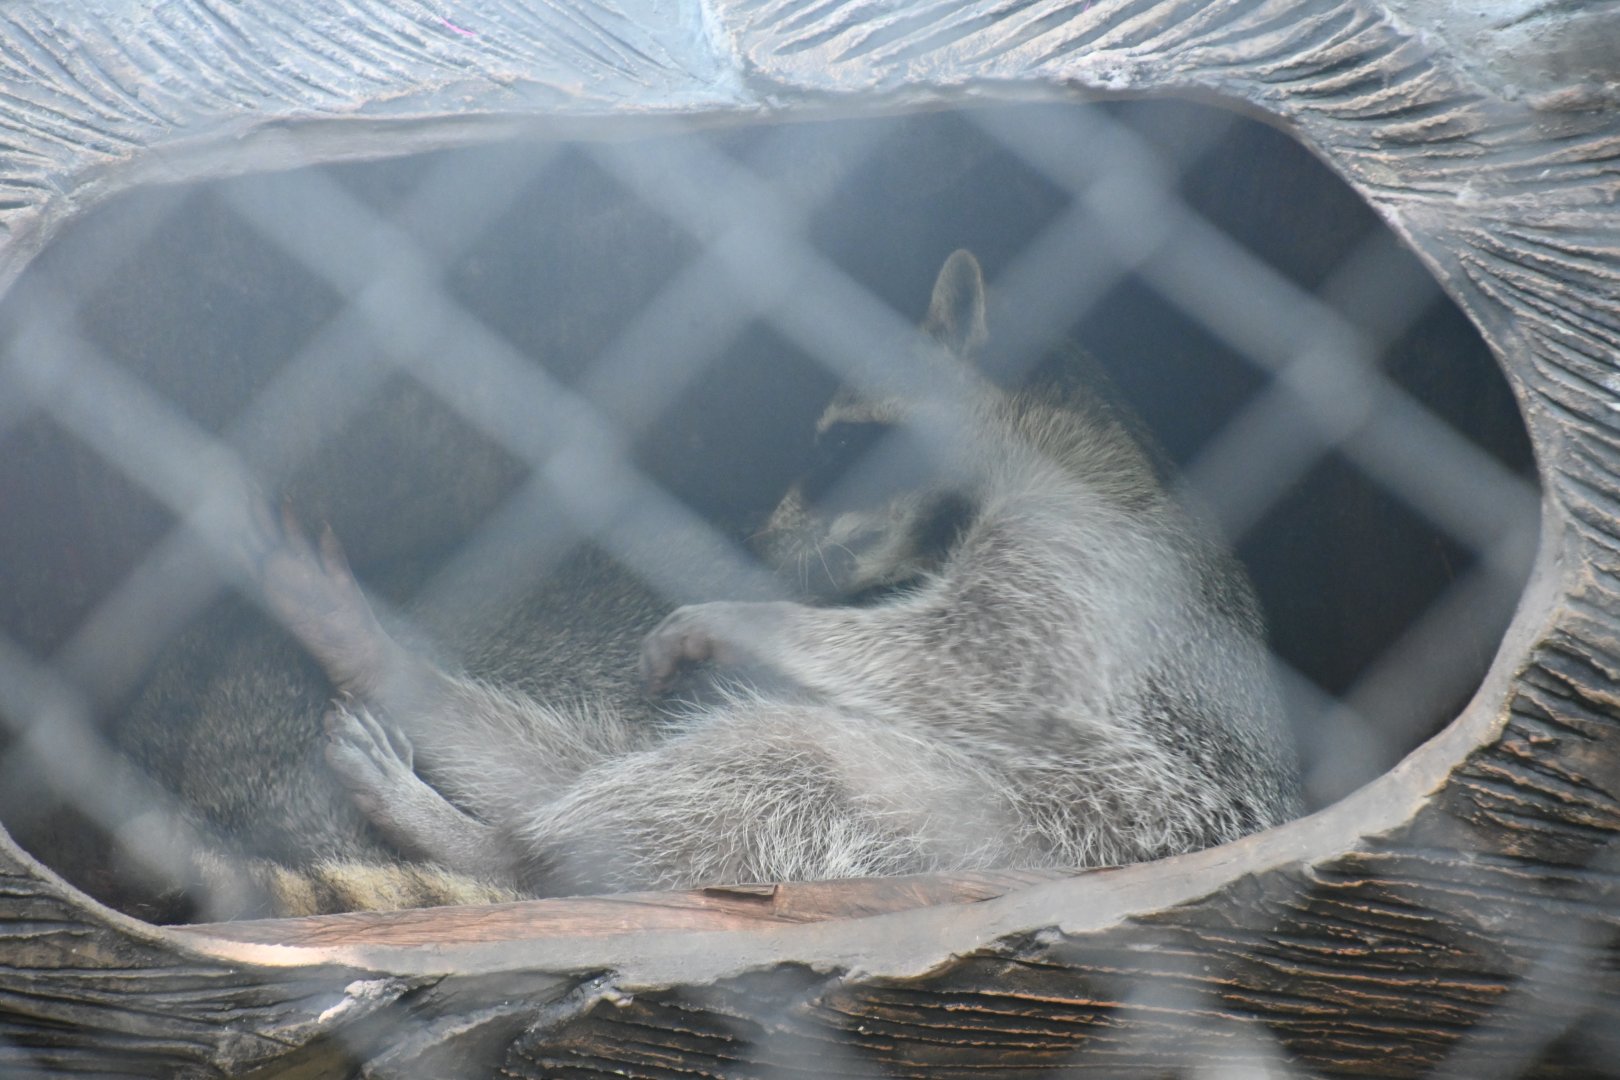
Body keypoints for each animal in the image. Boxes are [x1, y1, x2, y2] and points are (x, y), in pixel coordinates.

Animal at [243, 249, 1301, 899]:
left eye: (836, 439)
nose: (762, 530)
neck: (1062, 431)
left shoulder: (1092, 550)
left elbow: (983, 656)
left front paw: (755, 616)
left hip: (1034, 822)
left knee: (784, 766)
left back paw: (504, 850)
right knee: (631, 760)